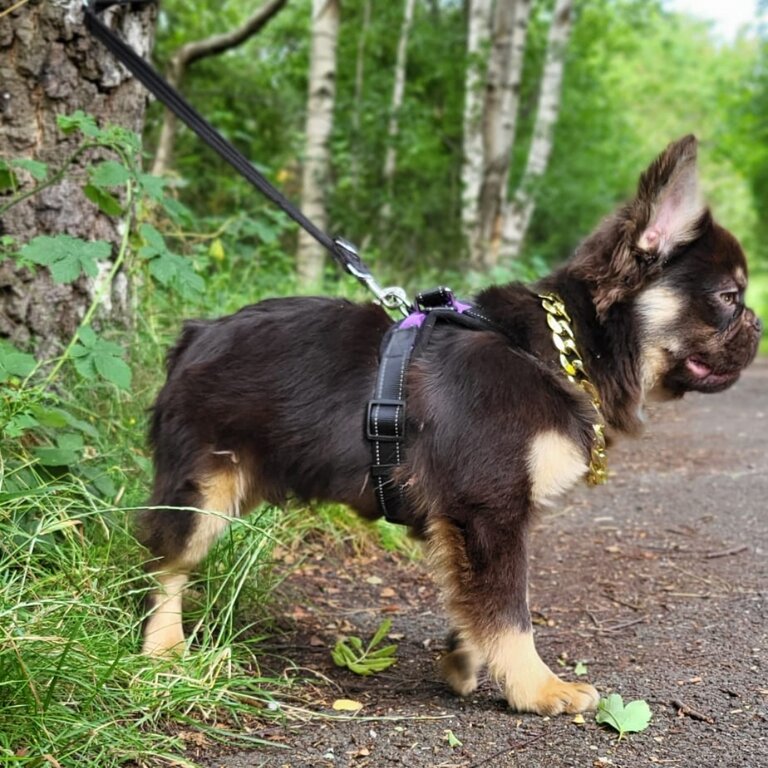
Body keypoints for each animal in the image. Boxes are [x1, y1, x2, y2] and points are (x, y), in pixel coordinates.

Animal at [136, 136, 756, 712]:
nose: (757, 326)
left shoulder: (466, 523)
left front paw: (464, 658)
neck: (552, 352)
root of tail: (196, 334)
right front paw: (537, 687)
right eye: (729, 297)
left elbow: (470, 598)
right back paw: (163, 651)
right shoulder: (490, 511)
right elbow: (510, 610)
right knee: (165, 567)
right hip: (201, 495)